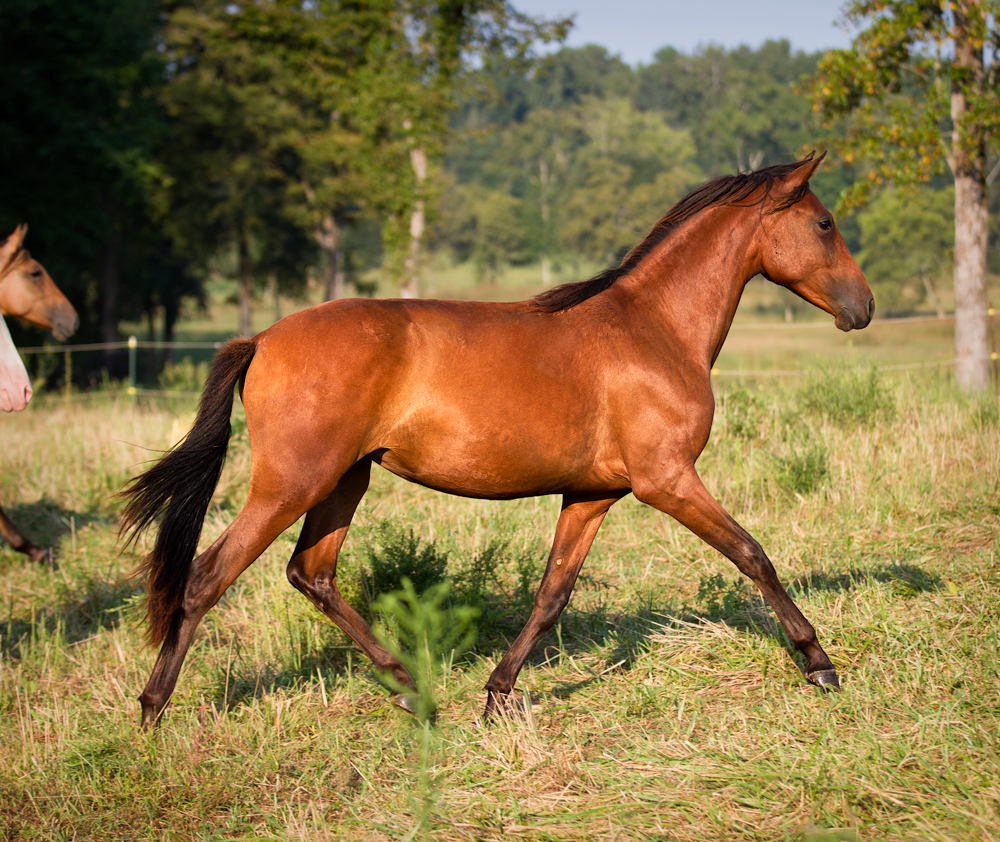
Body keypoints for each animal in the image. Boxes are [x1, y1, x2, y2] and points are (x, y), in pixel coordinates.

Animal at [123, 153, 876, 720]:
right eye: (824, 221)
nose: (863, 308)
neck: (655, 328)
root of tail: (262, 339)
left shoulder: (592, 495)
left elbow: (551, 595)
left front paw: (497, 693)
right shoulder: (667, 480)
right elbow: (754, 555)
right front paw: (819, 664)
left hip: (344, 479)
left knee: (311, 573)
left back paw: (411, 691)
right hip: (292, 483)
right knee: (208, 577)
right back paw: (154, 709)